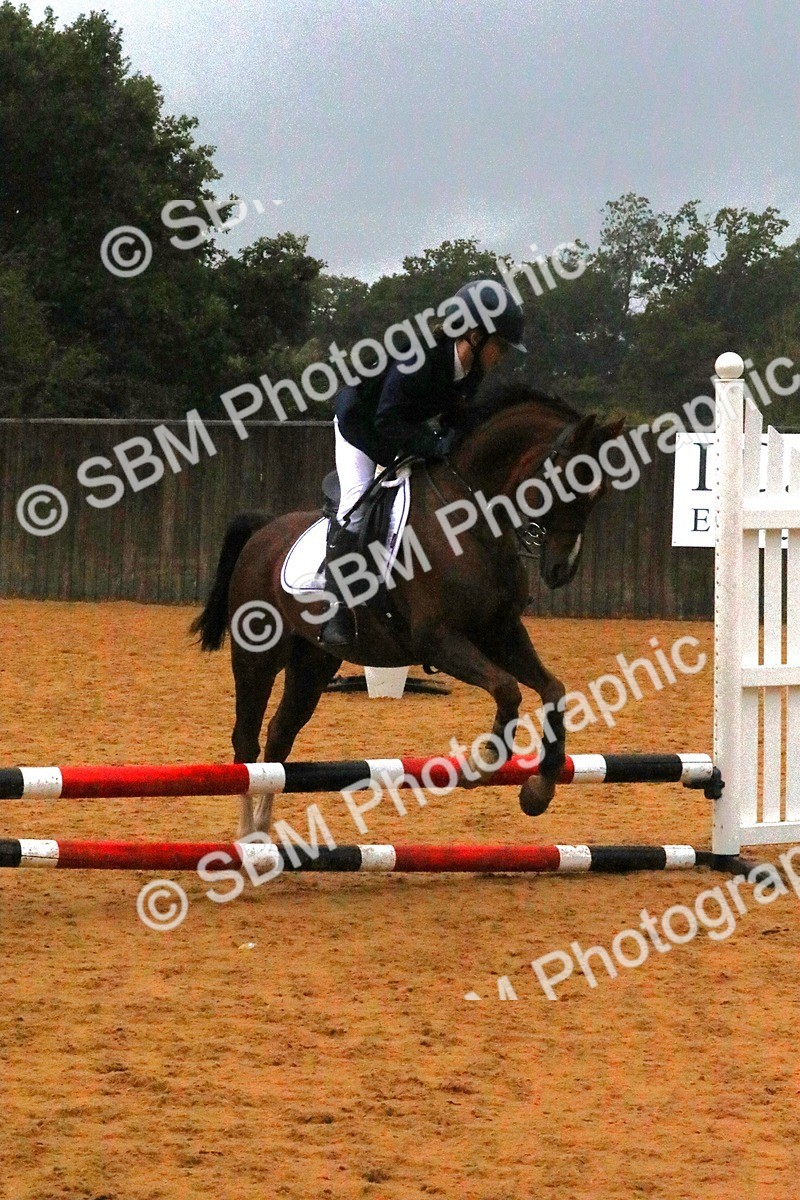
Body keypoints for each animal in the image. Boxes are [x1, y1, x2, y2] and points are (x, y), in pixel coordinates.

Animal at [191, 383, 624, 836]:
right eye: (571, 480)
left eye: (600, 492)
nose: (562, 570)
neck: (472, 519)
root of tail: (264, 531)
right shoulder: (437, 640)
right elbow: (508, 688)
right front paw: (486, 760)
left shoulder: (500, 632)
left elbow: (553, 690)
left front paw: (539, 789)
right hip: (256, 656)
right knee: (246, 740)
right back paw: (248, 835)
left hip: (313, 661)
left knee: (280, 734)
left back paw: (262, 830)